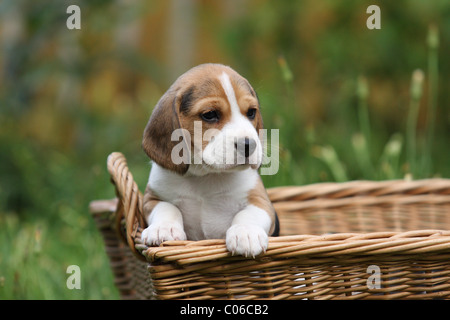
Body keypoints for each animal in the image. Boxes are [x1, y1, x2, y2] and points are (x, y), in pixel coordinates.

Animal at [141, 63, 280, 258]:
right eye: (210, 114)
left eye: (251, 112)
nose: (249, 145)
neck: (206, 176)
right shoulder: (150, 198)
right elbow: (167, 207)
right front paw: (163, 229)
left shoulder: (262, 201)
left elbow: (248, 214)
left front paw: (246, 233)